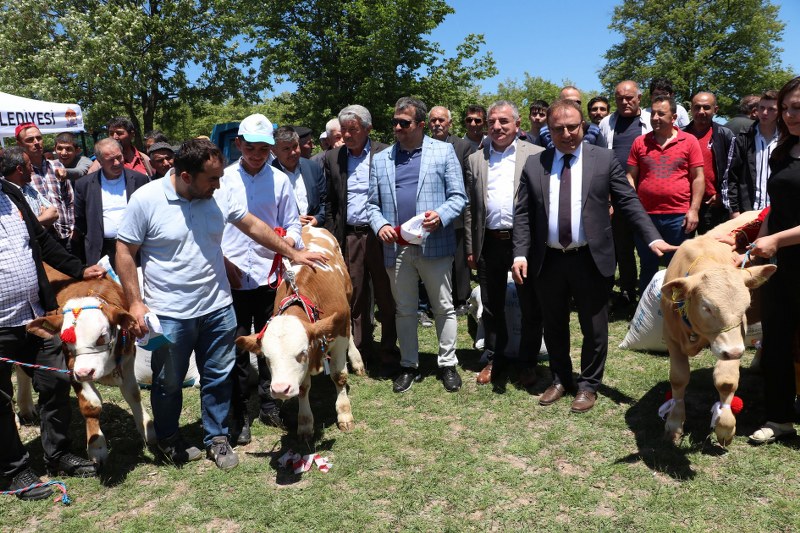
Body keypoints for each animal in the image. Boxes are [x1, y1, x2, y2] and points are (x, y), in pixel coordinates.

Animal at [236, 224, 364, 436]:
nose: (280, 389)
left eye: (302, 353)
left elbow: (339, 376)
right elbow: (303, 387)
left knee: (352, 332)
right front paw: (305, 423)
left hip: (348, 300)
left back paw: (357, 361)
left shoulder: (339, 334)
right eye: (266, 358)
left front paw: (344, 414)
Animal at [656, 236, 776, 444]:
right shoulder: (672, 338)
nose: (736, 352)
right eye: (707, 307)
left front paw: (725, 427)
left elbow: (726, 381)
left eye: (746, 306)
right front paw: (674, 423)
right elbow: (678, 379)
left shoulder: (734, 339)